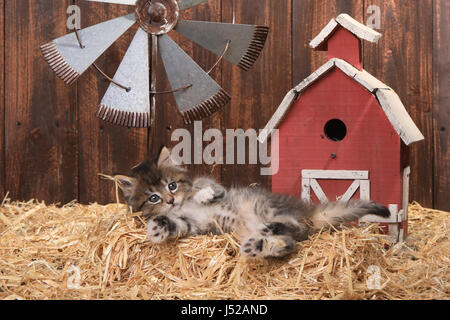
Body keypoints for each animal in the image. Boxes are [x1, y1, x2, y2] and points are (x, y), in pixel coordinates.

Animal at [115, 148, 390, 260]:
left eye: (171, 185)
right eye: (153, 197)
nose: (171, 200)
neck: (182, 206)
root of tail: (307, 211)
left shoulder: (217, 187)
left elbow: (207, 185)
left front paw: (203, 195)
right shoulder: (192, 225)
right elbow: (175, 223)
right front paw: (157, 227)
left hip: (266, 206)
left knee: (294, 226)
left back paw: (268, 231)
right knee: (288, 243)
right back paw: (260, 245)